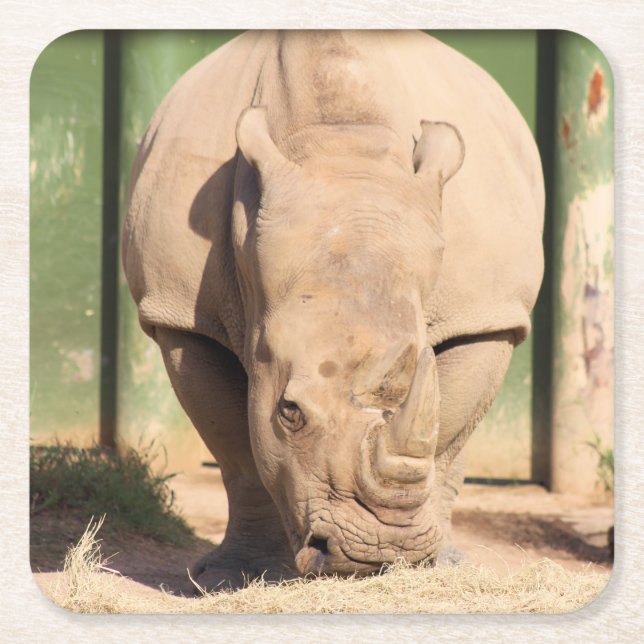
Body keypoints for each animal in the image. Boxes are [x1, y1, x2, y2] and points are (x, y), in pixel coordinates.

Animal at [123, 30, 544, 590]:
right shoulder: (182, 317)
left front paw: (432, 565)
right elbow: (236, 453)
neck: (341, 145)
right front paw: (236, 577)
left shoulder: (486, 314)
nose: (379, 554)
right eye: (289, 411)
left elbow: (448, 439)